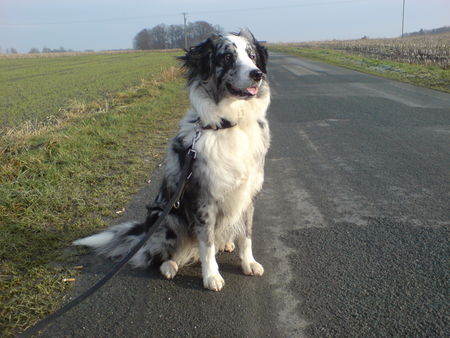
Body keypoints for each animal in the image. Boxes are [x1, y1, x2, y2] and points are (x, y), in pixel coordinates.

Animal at [74, 28, 270, 290]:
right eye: (227, 57)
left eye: (252, 56)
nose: (257, 74)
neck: (230, 124)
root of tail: (145, 230)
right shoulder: (203, 198)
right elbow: (206, 243)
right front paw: (211, 276)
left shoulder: (247, 194)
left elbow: (246, 235)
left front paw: (248, 263)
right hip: (167, 219)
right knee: (156, 255)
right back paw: (169, 266)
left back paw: (226, 243)